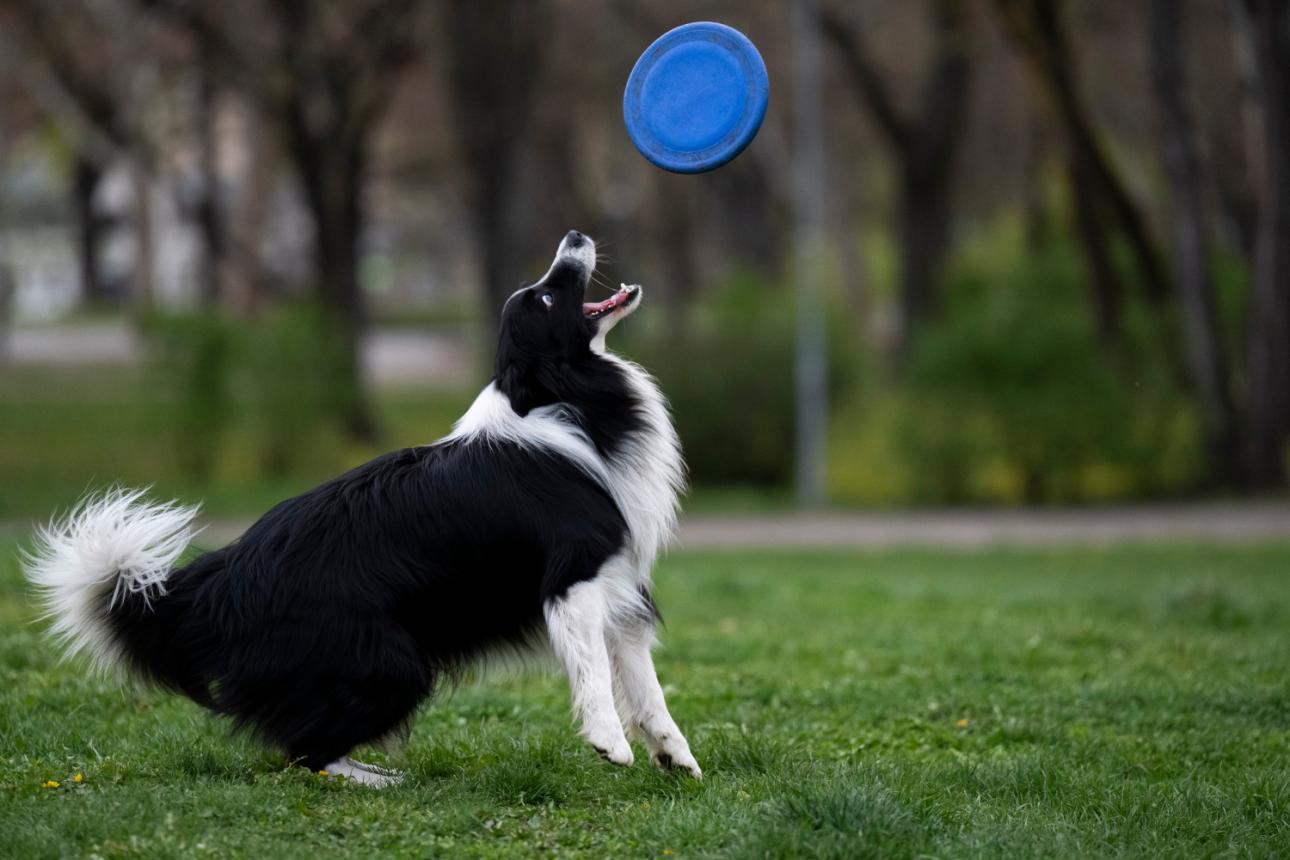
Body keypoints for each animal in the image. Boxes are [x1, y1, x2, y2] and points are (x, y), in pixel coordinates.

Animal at [25, 230, 701, 789]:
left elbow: (645, 685)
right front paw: (609, 744)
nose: (576, 234)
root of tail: (219, 580)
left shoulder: (619, 585)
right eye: (543, 297)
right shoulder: (573, 576)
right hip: (393, 665)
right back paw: (383, 781)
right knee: (303, 755)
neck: (556, 397)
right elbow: (593, 670)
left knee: (302, 748)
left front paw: (675, 757)